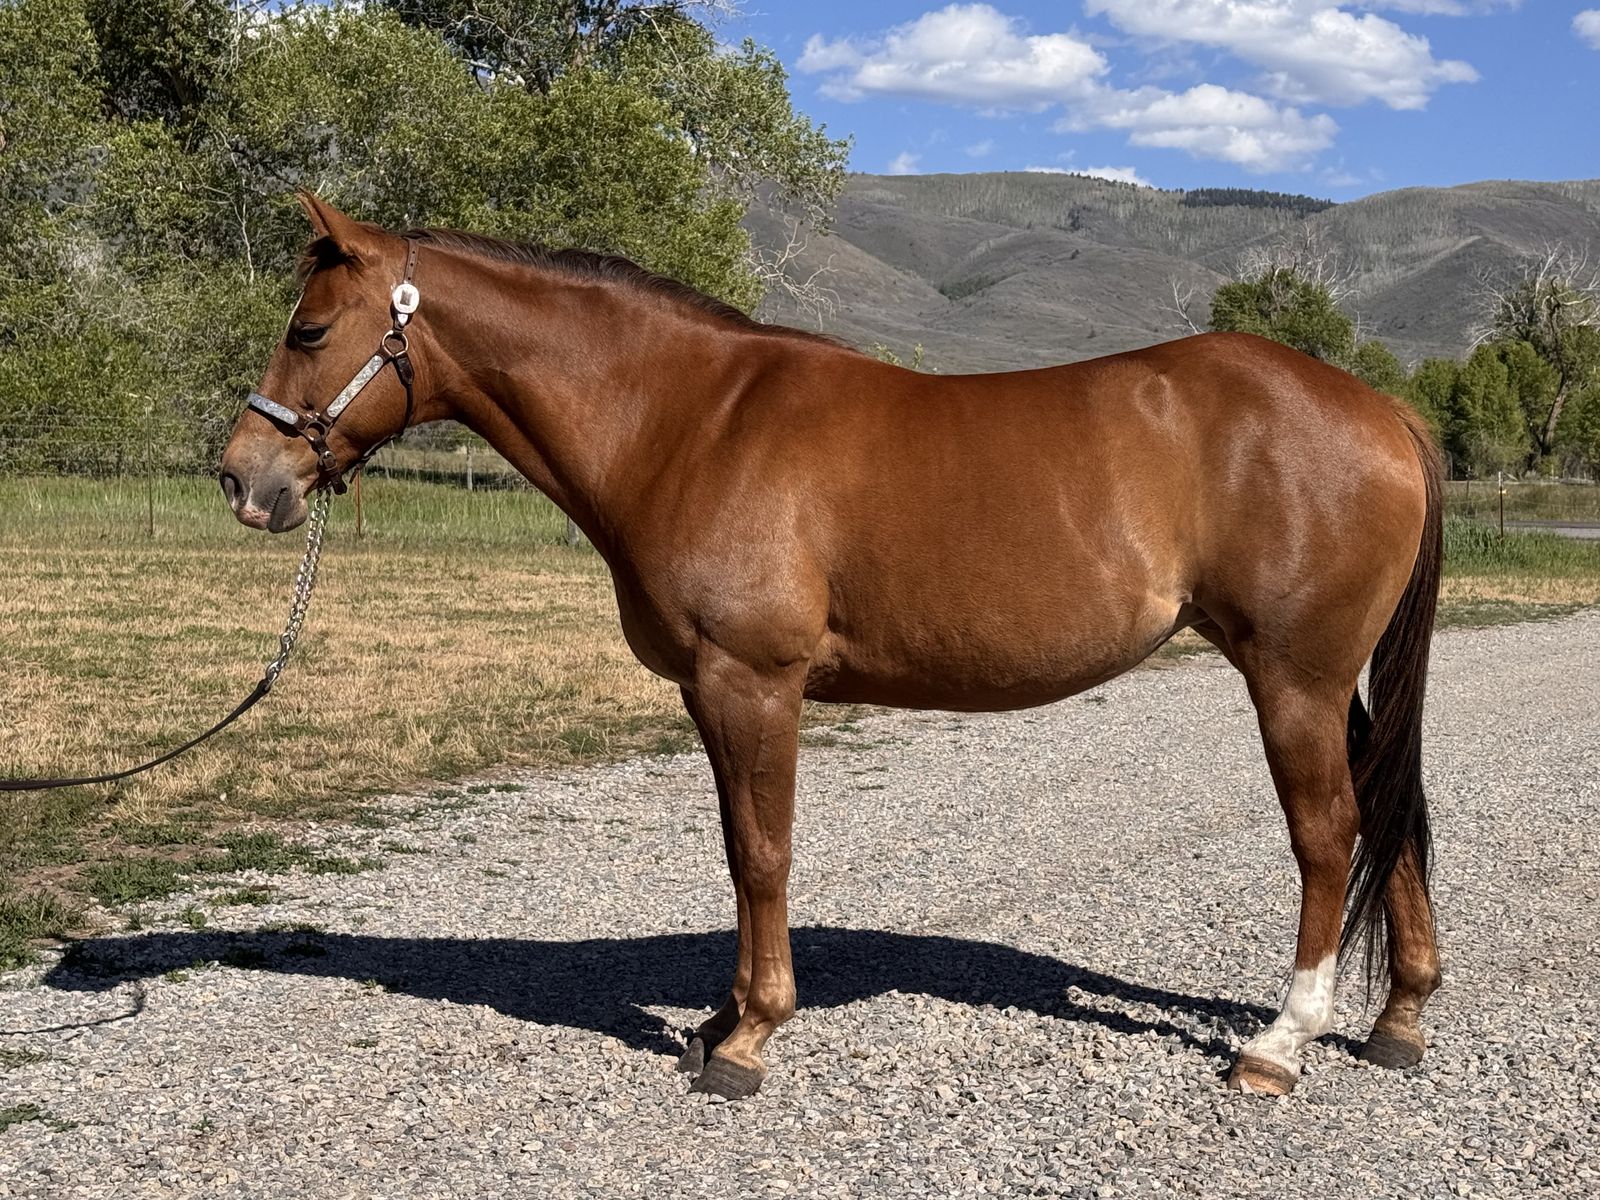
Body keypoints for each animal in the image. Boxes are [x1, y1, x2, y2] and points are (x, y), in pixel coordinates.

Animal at [220, 194, 1443, 1101]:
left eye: (309, 330)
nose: (243, 478)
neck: (688, 419)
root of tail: (1381, 410)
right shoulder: (709, 693)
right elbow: (736, 848)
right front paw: (717, 1020)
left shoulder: (753, 683)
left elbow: (765, 852)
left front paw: (750, 1040)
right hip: (1329, 684)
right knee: (1387, 813)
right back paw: (1399, 1019)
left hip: (1292, 677)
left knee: (1328, 833)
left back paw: (1279, 1044)